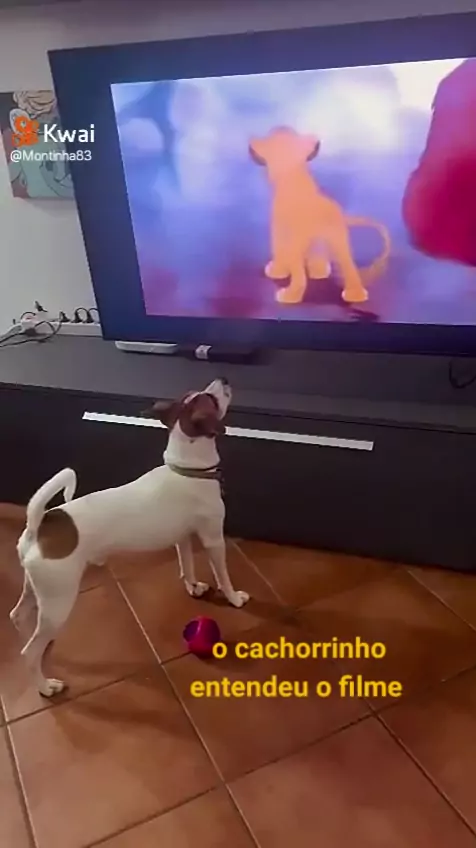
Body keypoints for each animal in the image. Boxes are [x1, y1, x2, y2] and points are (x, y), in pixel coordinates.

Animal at [9, 378, 249, 697]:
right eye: (211, 398)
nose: (223, 379)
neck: (187, 470)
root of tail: (41, 524)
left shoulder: (183, 537)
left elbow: (186, 565)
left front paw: (194, 587)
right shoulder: (213, 539)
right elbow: (223, 574)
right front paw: (234, 598)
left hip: (37, 590)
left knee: (20, 617)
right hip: (60, 598)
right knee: (29, 652)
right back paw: (45, 686)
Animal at [249, 126, 391, 305]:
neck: (294, 176)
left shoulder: (280, 228)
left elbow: (279, 249)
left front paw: (276, 271)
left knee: (300, 275)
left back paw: (289, 296)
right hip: (338, 240)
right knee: (348, 265)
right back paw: (355, 295)